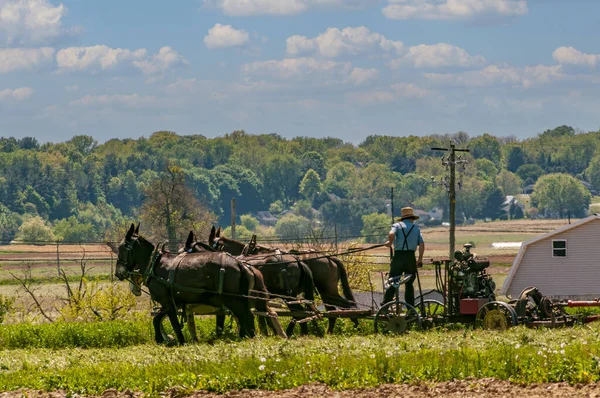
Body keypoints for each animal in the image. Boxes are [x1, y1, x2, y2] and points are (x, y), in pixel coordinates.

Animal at [116, 222, 290, 344]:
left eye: (122, 248)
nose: (118, 272)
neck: (155, 265)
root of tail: (240, 264)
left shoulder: (168, 303)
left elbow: (166, 321)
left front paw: (174, 340)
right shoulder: (176, 304)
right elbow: (161, 319)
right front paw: (168, 339)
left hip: (235, 300)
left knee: (247, 317)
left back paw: (248, 336)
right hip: (241, 300)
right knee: (254, 316)